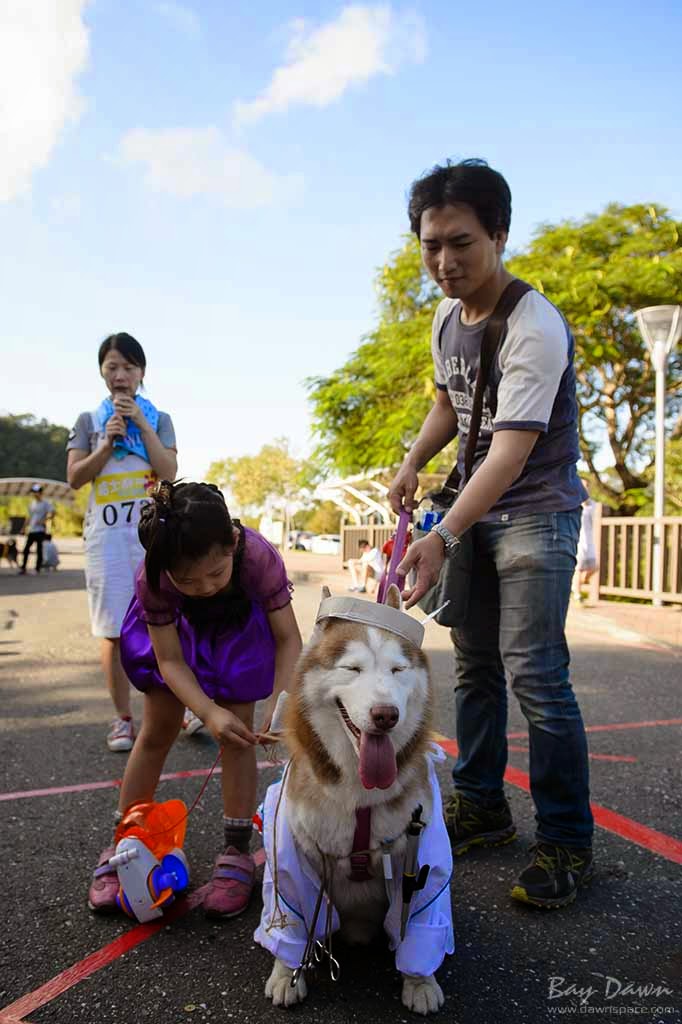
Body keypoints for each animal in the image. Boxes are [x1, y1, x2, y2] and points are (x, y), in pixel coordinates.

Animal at [254, 589, 450, 1011]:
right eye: (352, 669)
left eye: (397, 670)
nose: (386, 715)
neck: (360, 793)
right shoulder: (293, 854)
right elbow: (291, 913)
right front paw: (287, 973)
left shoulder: (421, 855)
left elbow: (419, 917)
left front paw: (419, 981)